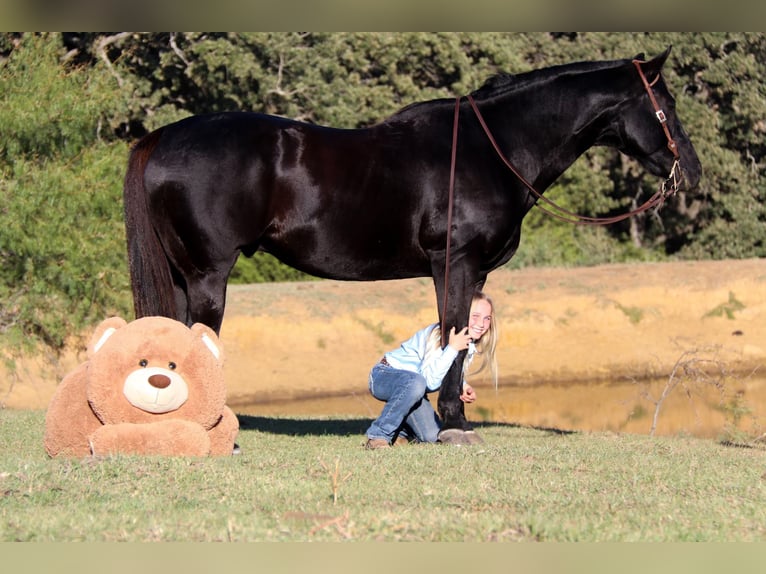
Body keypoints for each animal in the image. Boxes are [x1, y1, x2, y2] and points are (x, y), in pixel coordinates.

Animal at [124, 48, 704, 446]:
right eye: (665, 106)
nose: (694, 171)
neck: (491, 149)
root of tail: (163, 137)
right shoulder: (457, 263)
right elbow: (454, 335)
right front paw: (456, 423)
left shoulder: (472, 272)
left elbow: (459, 337)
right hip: (207, 275)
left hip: (181, 274)